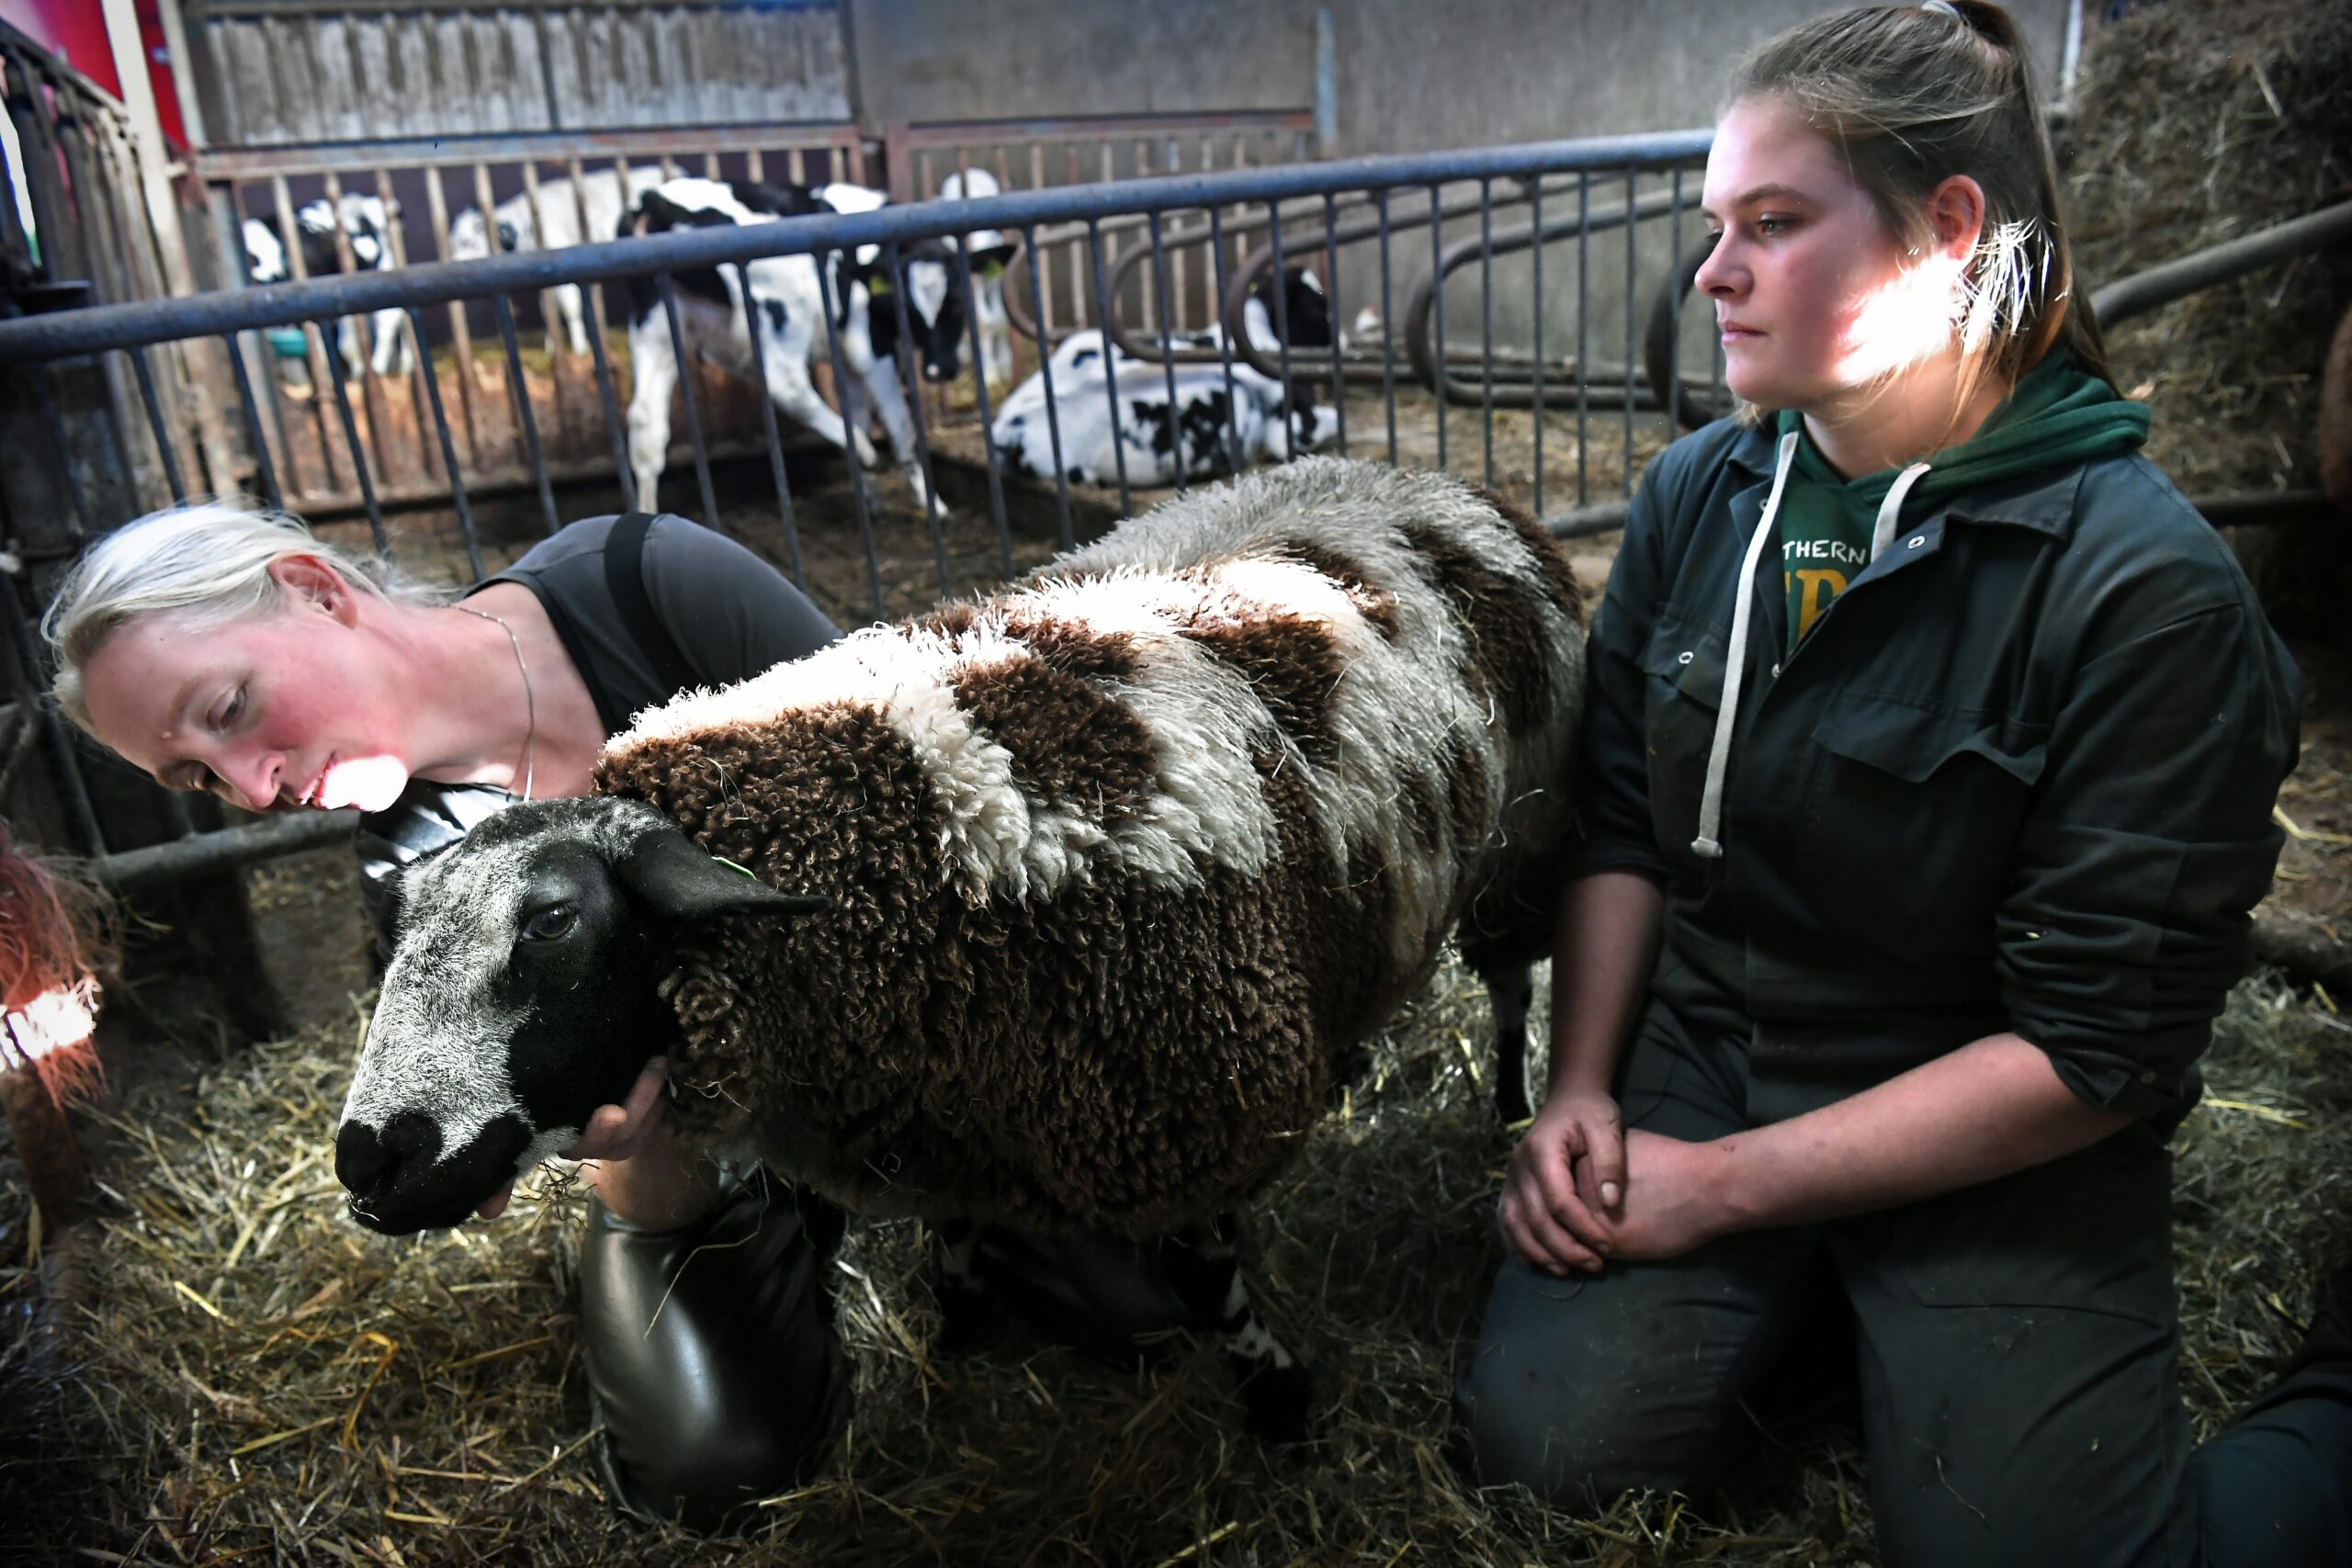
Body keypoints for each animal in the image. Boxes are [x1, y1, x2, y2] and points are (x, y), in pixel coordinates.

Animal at [336, 453, 1580, 1438]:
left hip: (1521, 850)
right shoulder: (952, 1096)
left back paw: (1510, 1107)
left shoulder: (1193, 1110)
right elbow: (963, 1230)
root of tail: (1422, 473)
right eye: (393, 932)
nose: (367, 1163)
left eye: (551, 923)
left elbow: (1208, 1274)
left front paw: (1275, 1395)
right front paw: (965, 1322)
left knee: (1514, 984)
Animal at [630, 175, 1015, 522]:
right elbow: (900, 425)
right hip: (785, 315)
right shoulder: (870, 345)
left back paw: (645, 515)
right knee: (787, 386)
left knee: (644, 422)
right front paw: (934, 505)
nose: (939, 370)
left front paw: (873, 501)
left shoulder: (846, 357)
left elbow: (861, 412)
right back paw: (863, 449)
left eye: (958, 304)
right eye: (906, 308)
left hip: (657, 326)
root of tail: (657, 198)